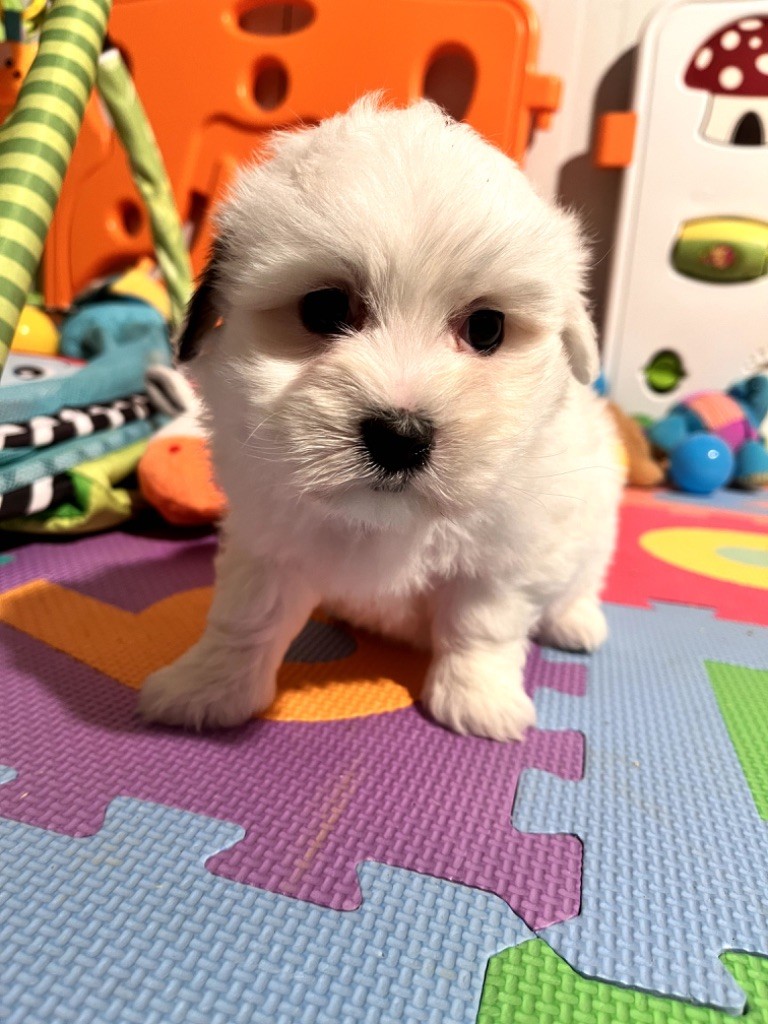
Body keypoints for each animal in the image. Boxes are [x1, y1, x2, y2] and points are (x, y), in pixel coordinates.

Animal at [140, 96, 626, 741]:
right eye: (324, 309)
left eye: (487, 328)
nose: (401, 437)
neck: (387, 522)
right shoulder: (268, 535)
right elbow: (247, 616)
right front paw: (206, 687)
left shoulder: (505, 554)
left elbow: (481, 626)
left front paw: (477, 701)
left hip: (596, 513)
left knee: (585, 574)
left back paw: (575, 621)